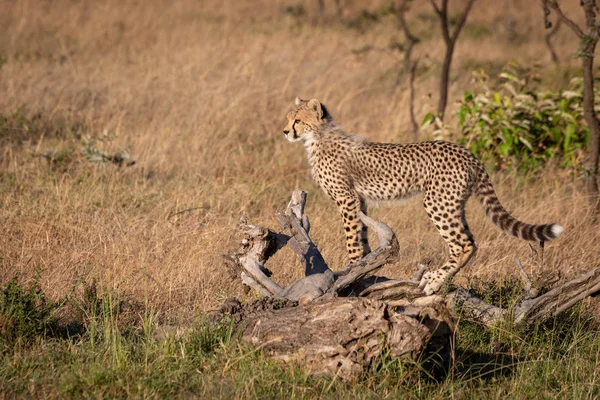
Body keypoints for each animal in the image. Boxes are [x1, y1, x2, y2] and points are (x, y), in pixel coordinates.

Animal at [282, 97, 564, 294]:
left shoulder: (346, 199)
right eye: (288, 119)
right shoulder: (359, 200)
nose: (285, 132)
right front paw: (365, 271)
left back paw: (435, 281)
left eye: (297, 121)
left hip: (437, 202)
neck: (318, 137)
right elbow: (363, 237)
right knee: (470, 241)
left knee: (463, 243)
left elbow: (352, 239)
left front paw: (351, 270)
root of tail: (465, 151)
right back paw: (440, 278)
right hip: (453, 203)